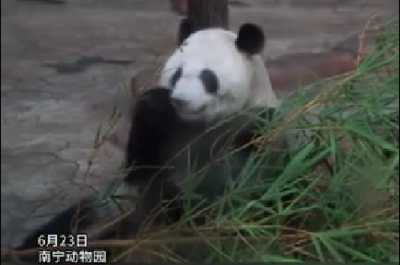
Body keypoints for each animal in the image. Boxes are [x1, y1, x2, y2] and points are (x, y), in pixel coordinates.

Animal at [14, 20, 288, 256]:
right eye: (177, 74)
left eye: (208, 77)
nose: (180, 100)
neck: (200, 124)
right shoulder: (163, 133)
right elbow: (142, 173)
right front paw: (156, 102)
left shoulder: (258, 128)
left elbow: (247, 188)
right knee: (79, 220)